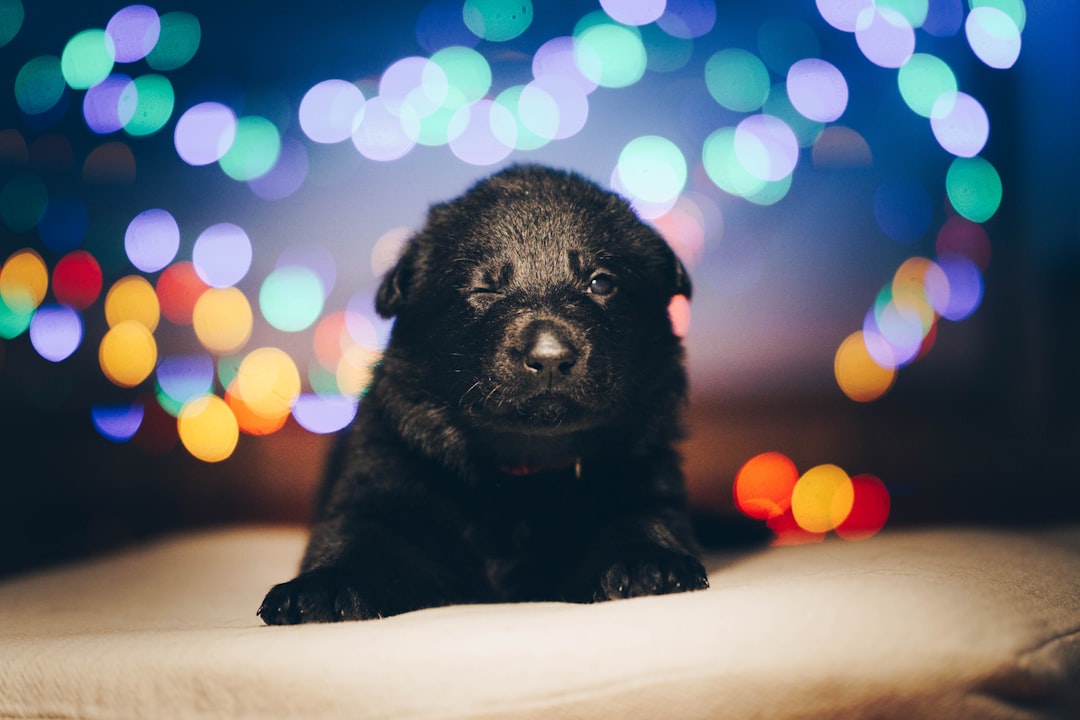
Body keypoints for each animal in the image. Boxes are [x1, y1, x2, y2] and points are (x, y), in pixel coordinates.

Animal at [259, 165, 708, 626]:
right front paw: (319, 588)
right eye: (485, 289)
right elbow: (354, 534)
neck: (520, 471)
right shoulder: (376, 479)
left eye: (601, 282)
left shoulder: (647, 476)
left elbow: (643, 515)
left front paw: (649, 561)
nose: (550, 357)